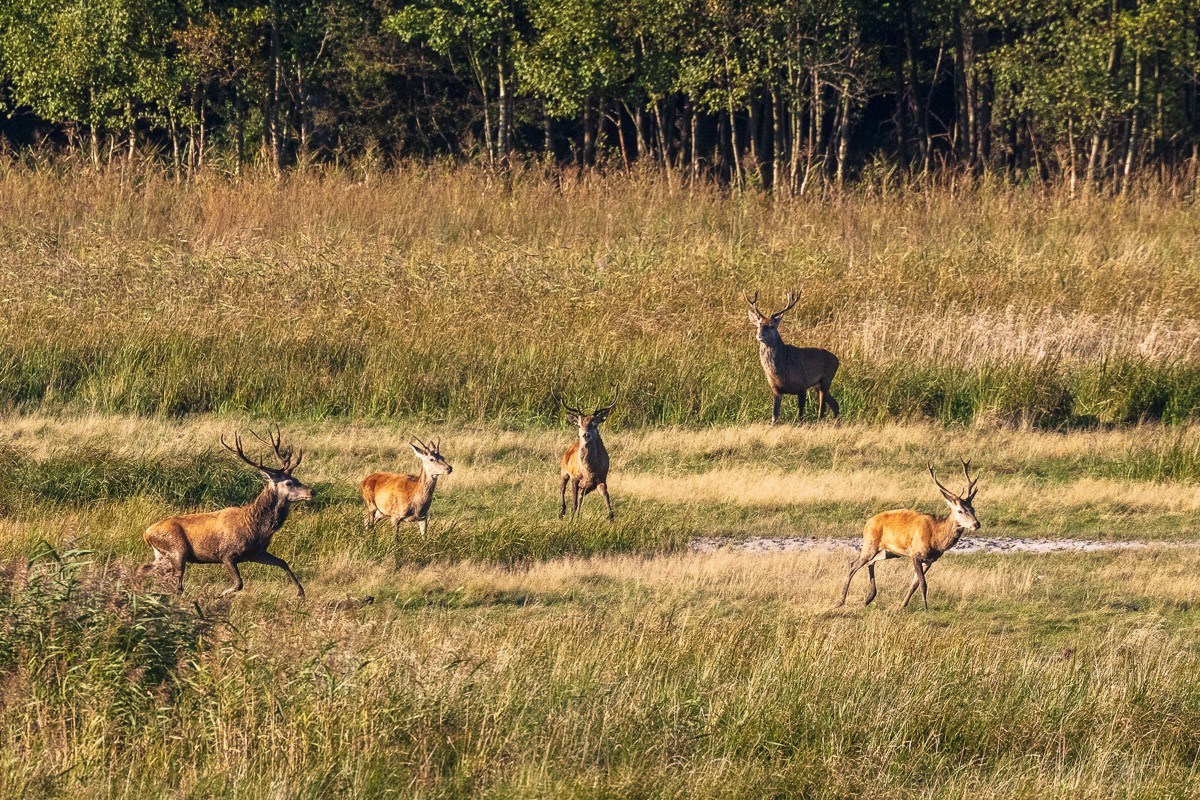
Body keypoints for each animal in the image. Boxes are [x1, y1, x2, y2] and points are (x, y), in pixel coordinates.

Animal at [140, 429, 312, 598]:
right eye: (288, 483)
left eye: (297, 479)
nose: (312, 491)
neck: (256, 528)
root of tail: (146, 533)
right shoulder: (226, 553)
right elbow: (239, 584)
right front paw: (217, 595)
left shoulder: (255, 553)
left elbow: (283, 562)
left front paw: (301, 593)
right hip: (177, 550)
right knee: (176, 584)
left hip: (163, 555)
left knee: (144, 569)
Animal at [558, 387, 618, 521]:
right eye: (579, 425)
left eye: (595, 424)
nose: (585, 435)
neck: (589, 471)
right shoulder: (575, 477)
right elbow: (574, 503)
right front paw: (570, 521)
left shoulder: (601, 478)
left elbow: (606, 496)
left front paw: (611, 518)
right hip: (564, 470)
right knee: (562, 488)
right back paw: (562, 512)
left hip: (587, 486)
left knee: (581, 496)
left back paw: (577, 516)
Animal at [744, 290, 840, 424]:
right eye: (758, 325)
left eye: (772, 326)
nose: (759, 335)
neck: (781, 370)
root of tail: (837, 360)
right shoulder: (776, 389)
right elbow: (774, 416)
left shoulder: (802, 386)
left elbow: (800, 416)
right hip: (817, 385)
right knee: (835, 404)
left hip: (826, 379)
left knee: (822, 409)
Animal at [837, 459, 981, 611]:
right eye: (960, 510)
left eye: (973, 509)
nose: (976, 524)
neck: (936, 539)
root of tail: (867, 523)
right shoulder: (915, 554)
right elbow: (923, 584)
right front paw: (925, 608)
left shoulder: (930, 560)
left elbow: (914, 585)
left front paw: (902, 605)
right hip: (870, 543)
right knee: (853, 564)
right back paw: (841, 600)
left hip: (889, 552)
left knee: (871, 562)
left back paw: (869, 598)